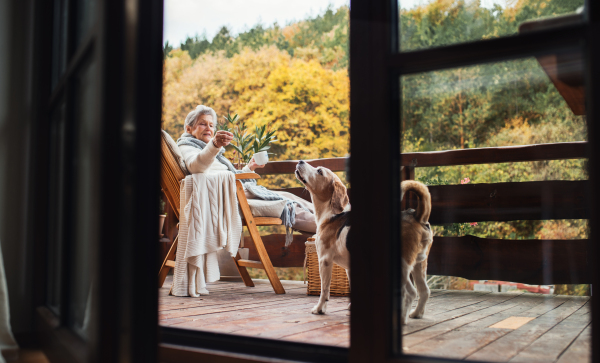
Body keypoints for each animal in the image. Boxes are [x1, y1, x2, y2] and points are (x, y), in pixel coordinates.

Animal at [296, 161, 352, 316]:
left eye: (319, 171)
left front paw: (320, 308)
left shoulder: (324, 260)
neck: (331, 213)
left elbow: (324, 290)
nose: (301, 161)